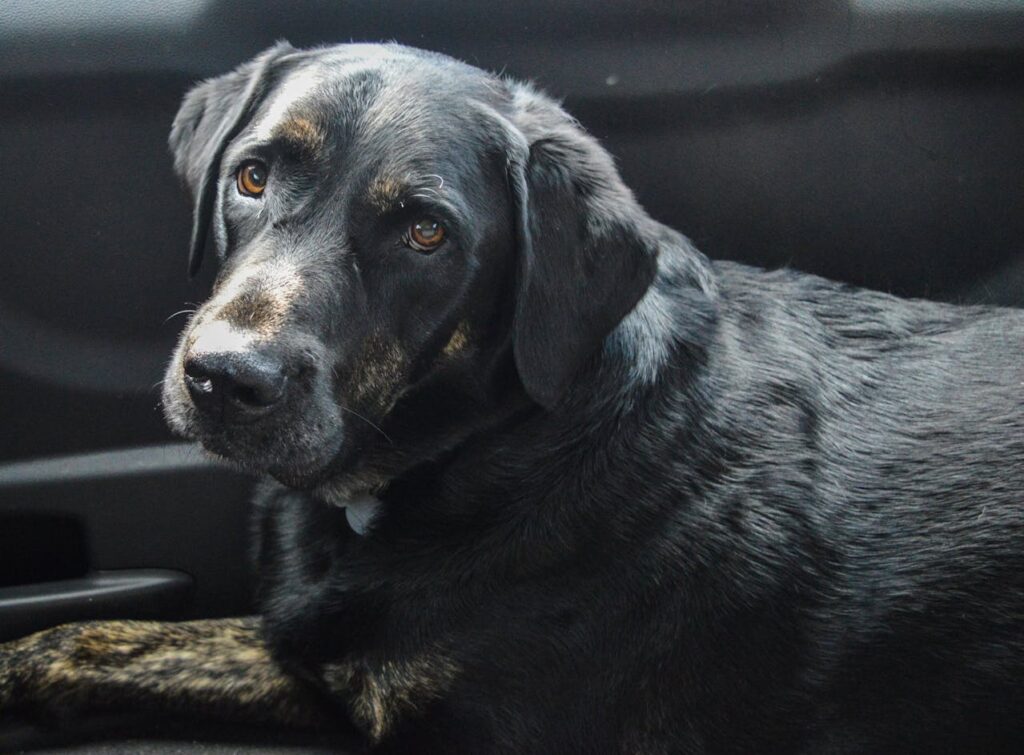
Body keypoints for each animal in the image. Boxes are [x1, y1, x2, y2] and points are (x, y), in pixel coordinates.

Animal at [2, 42, 1024, 753]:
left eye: (425, 231)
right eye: (252, 176)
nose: (223, 378)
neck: (482, 450)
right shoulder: (330, 653)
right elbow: (93, 636)